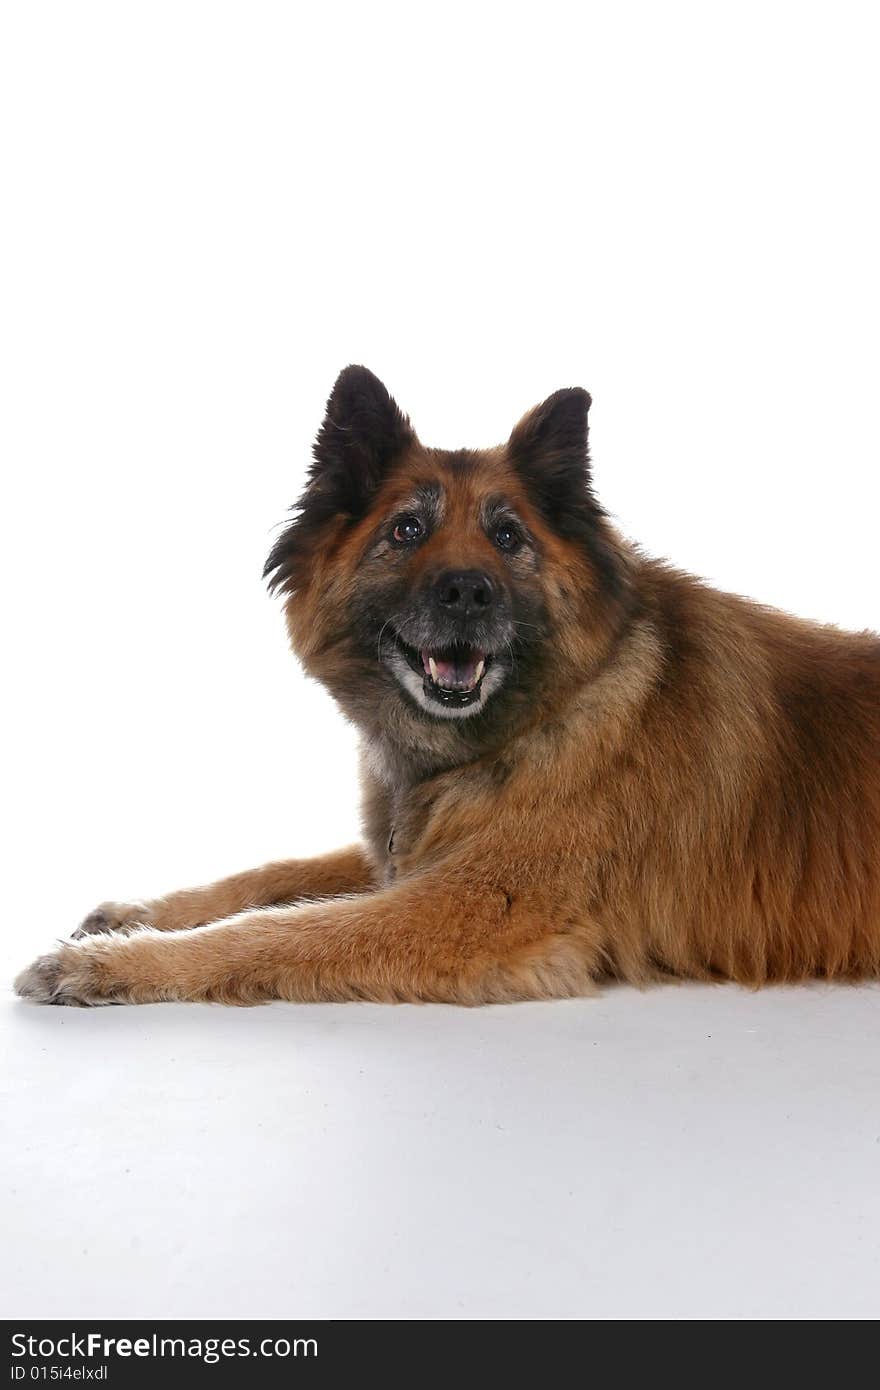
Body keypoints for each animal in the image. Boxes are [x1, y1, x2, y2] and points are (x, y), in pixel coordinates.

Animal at [13, 364, 878, 1006]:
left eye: (508, 535)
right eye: (407, 530)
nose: (468, 592)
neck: (547, 716)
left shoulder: (474, 908)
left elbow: (280, 931)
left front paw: (113, 964)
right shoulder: (411, 857)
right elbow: (273, 875)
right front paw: (135, 916)